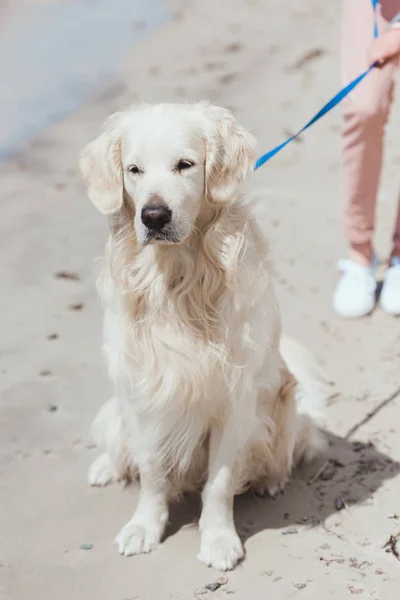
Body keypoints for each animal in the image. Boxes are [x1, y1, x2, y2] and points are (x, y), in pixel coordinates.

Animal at [79, 103, 326, 572]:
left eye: (185, 164)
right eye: (134, 169)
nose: (153, 216)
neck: (178, 278)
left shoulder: (234, 400)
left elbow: (219, 481)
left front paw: (219, 540)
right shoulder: (143, 391)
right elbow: (152, 472)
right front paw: (144, 527)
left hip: (284, 408)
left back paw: (272, 481)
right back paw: (104, 467)